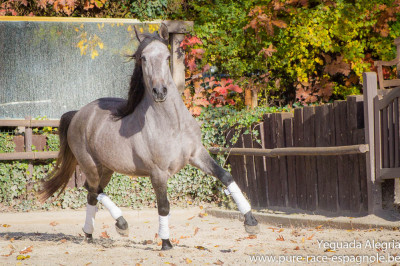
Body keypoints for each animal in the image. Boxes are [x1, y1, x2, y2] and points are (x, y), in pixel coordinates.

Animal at [40, 23, 260, 250]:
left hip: (107, 168)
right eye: (143, 58)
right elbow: (163, 206)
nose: (160, 91)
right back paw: (119, 225)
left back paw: (92, 234)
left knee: (92, 192)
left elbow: (226, 176)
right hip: (90, 165)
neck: (173, 125)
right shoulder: (158, 173)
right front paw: (166, 243)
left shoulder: (197, 154)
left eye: (167, 56)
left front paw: (251, 222)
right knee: (93, 189)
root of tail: (78, 114)